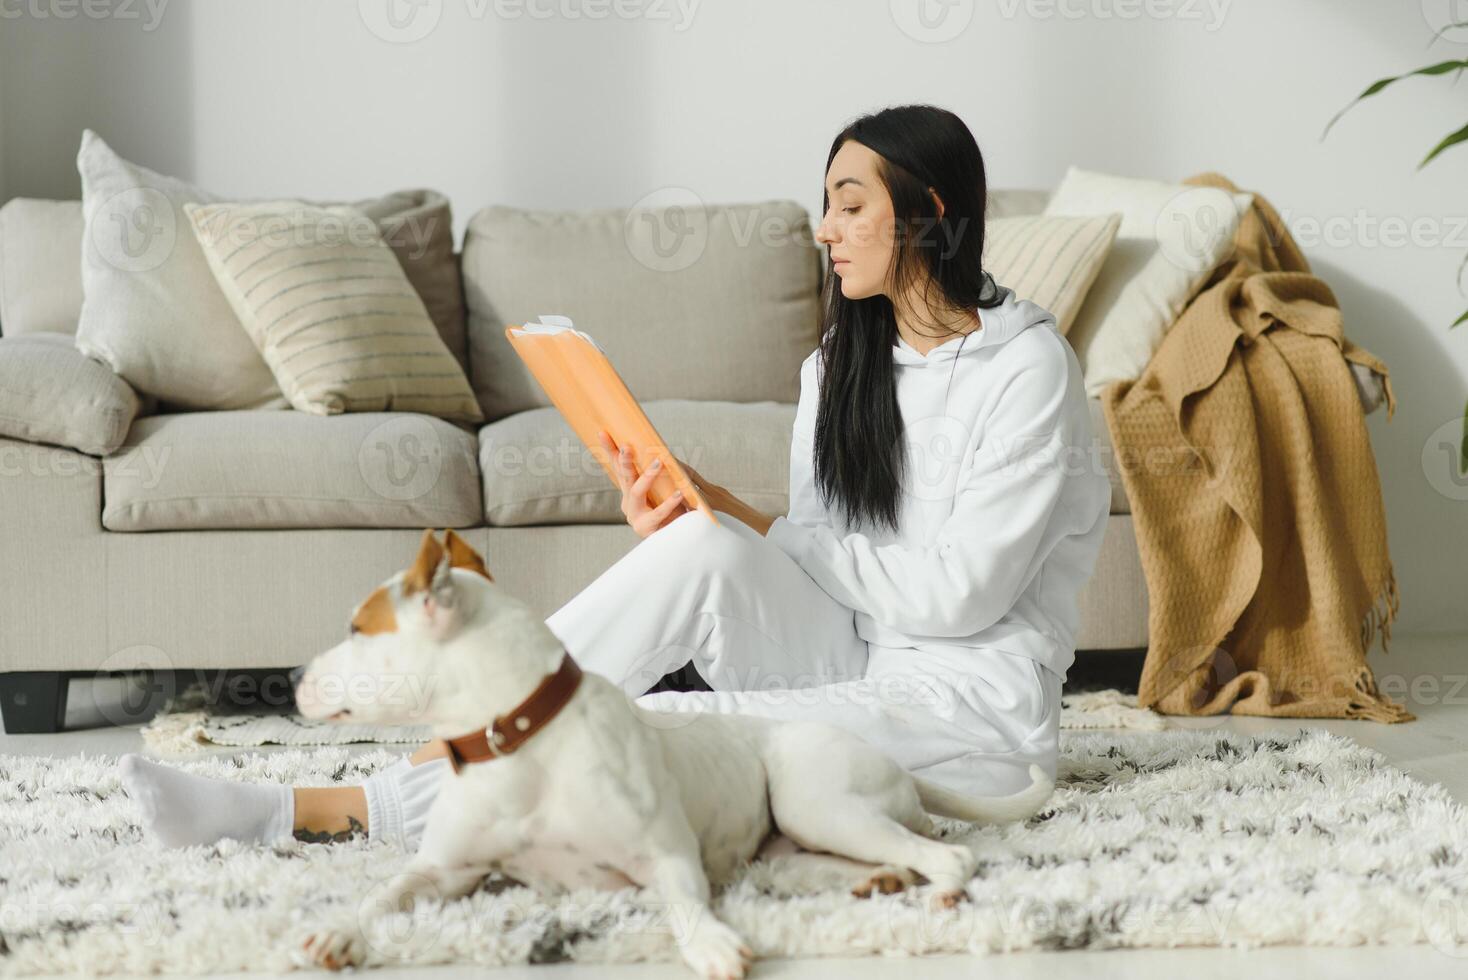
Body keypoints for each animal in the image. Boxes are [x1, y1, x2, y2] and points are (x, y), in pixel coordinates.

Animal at [292, 531, 1051, 974]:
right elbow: (383, 895)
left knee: (948, 855)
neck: (521, 739)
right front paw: (339, 932)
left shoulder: (666, 855)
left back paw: (939, 893)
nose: (295, 675)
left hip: (814, 799)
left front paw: (711, 943)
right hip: (797, 845)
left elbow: (686, 905)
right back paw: (881, 881)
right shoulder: (446, 872)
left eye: (356, 628)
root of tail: (899, 770)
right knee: (872, 858)